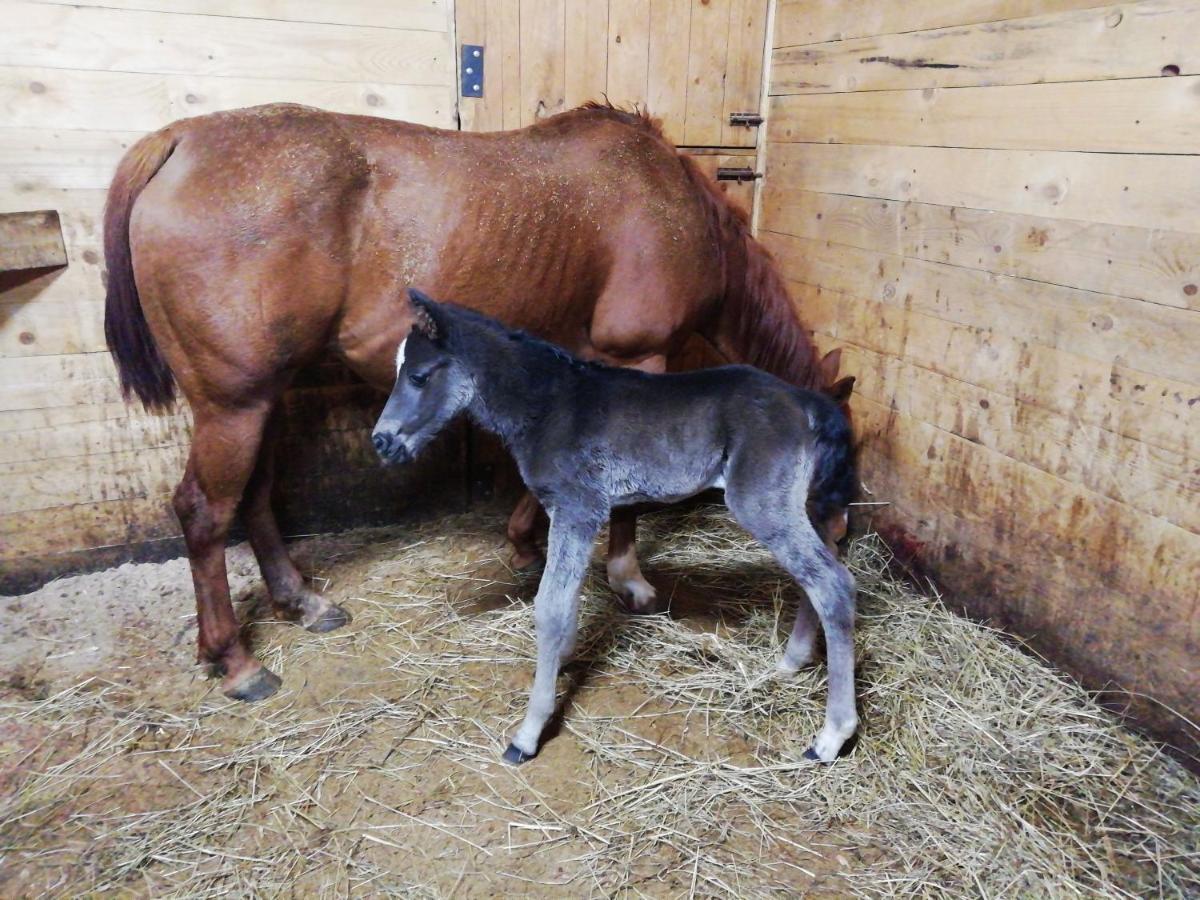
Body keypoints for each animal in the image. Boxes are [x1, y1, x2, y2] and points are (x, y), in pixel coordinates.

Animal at [374, 290, 864, 768]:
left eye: (418, 376)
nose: (382, 441)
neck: (548, 406)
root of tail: (806, 403)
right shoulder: (572, 513)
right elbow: (567, 597)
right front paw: (564, 660)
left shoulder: (578, 507)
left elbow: (549, 607)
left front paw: (529, 732)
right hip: (796, 505)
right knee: (819, 572)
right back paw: (792, 661)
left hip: (760, 504)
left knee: (833, 583)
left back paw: (830, 737)